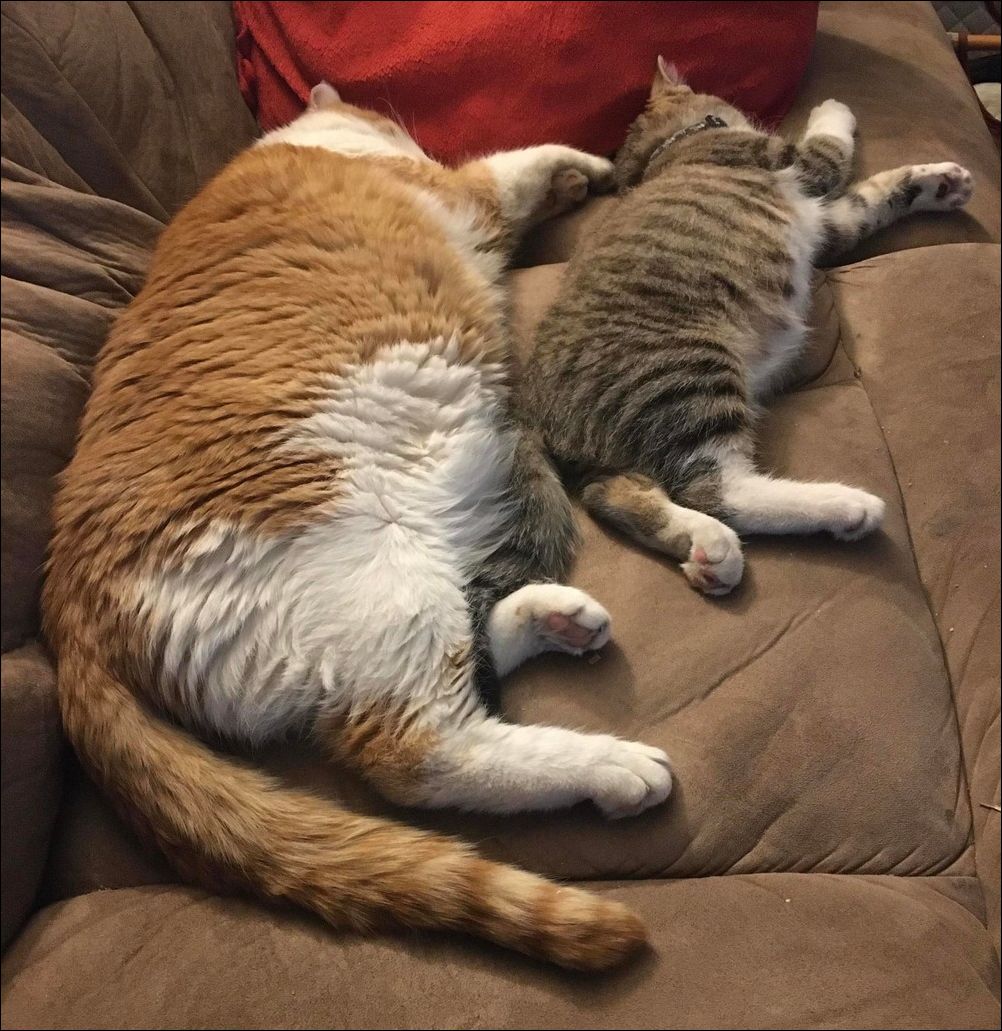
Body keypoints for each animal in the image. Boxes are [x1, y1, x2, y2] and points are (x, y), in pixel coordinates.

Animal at [42, 83, 673, 971]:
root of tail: (64, 615)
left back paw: (558, 618)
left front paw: (583, 182)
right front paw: (587, 165)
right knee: (421, 752)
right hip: (382, 573)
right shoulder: (464, 191)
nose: (406, 134)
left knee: (471, 653)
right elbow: (523, 161)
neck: (307, 141)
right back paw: (612, 767)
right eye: (393, 123)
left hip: (412, 582)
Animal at [519, 59, 973, 595]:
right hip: (688, 373)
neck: (667, 149)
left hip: (628, 445)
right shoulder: (797, 164)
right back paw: (844, 506)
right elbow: (832, 147)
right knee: (717, 488)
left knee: (610, 494)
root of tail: (536, 413)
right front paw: (832, 108)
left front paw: (942, 184)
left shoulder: (829, 223)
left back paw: (706, 548)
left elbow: (871, 199)